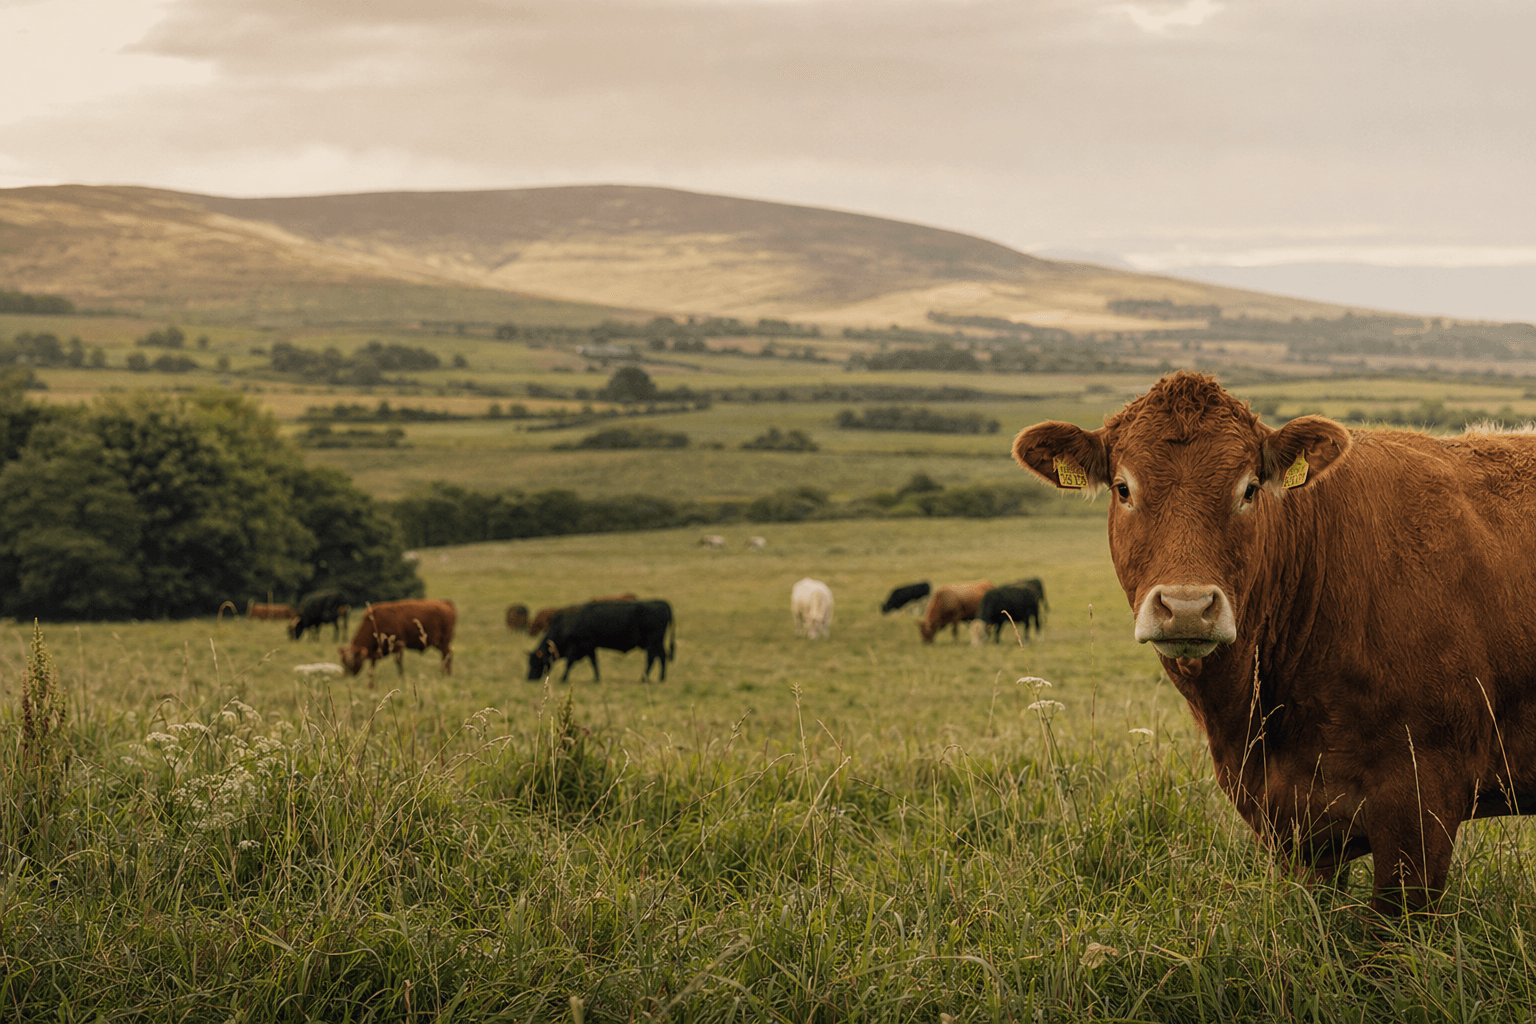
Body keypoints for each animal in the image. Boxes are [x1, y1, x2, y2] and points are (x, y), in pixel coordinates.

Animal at [527, 599, 675, 682]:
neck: (566, 624)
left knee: (653, 658)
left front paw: (563, 678)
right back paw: (660, 678)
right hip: (655, 644)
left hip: (652, 643)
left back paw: (645, 679)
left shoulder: (580, 647)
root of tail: (662, 603)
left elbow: (570, 663)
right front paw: (597, 678)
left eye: (535, 662)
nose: (529, 678)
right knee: (661, 656)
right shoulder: (590, 648)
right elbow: (594, 663)